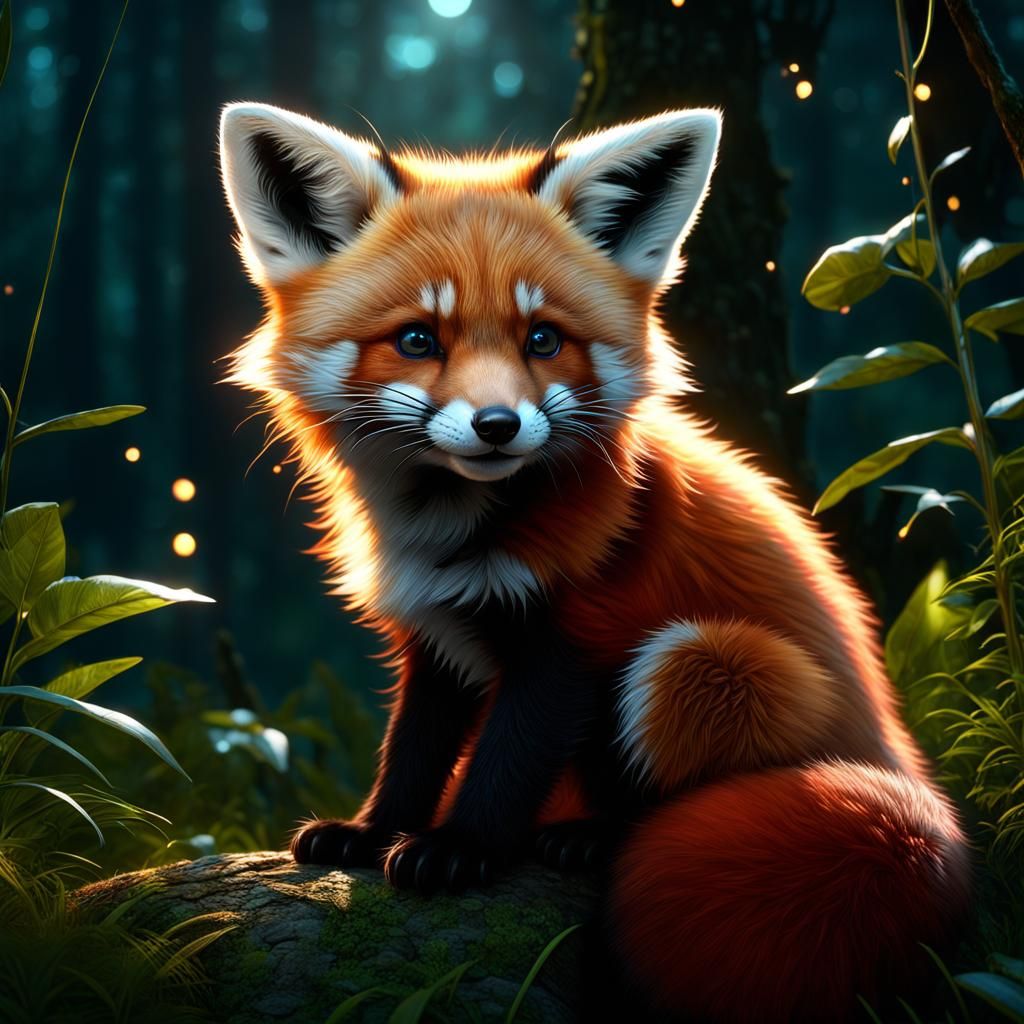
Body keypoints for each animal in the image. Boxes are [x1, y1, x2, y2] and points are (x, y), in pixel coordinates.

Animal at [217, 101, 971, 1022]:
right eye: (418, 339)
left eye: (543, 339)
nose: (498, 425)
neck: (456, 537)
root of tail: (904, 763)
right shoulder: (435, 638)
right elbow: (412, 754)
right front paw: (371, 832)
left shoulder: (573, 641)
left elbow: (504, 764)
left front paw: (457, 848)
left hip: (703, 662)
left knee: (650, 801)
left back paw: (585, 837)